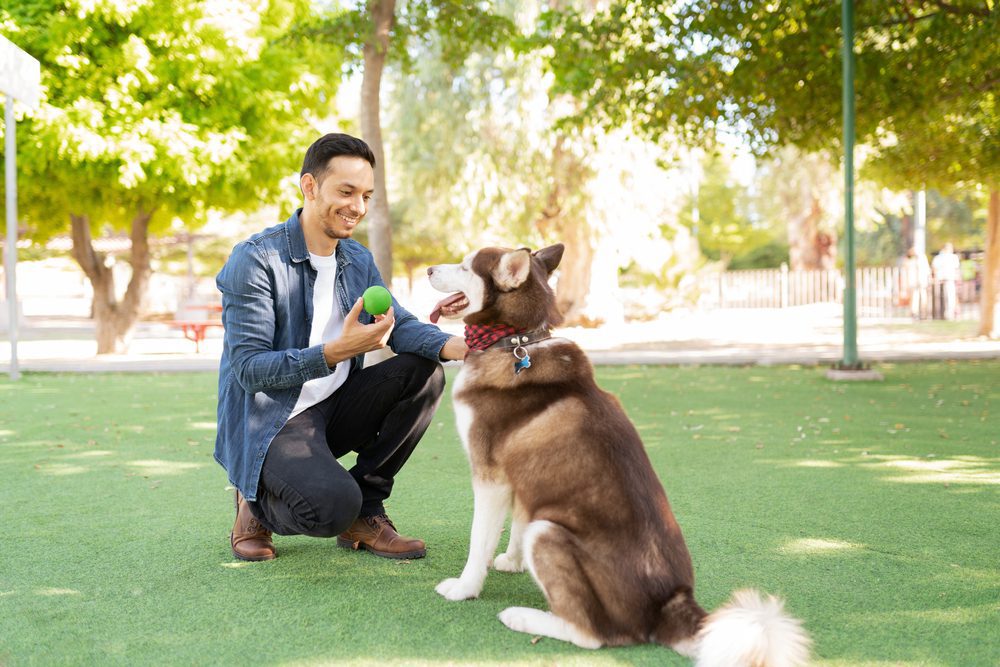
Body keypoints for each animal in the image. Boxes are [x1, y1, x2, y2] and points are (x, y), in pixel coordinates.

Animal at [426, 245, 808, 667]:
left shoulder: (490, 476)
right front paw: (511, 560)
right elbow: (518, 521)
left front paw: (465, 587)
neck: (514, 342)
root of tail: (669, 604)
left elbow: (479, 541)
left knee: (591, 634)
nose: (428, 268)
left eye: (464, 266)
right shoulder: (521, 478)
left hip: (549, 533)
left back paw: (523, 618)